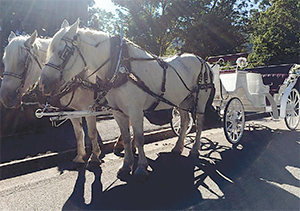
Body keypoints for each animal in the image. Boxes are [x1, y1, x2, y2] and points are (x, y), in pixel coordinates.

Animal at [0, 23, 102, 164]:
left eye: (23, 63)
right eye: (4, 62)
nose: (6, 98)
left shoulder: (89, 109)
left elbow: (92, 132)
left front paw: (95, 155)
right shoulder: (71, 111)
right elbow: (78, 133)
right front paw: (80, 155)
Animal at [41, 20, 214, 181]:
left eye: (64, 52)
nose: (43, 84)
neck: (120, 67)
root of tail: (202, 60)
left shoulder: (135, 110)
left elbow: (139, 137)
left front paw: (141, 167)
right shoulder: (117, 112)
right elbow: (125, 137)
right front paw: (126, 165)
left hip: (200, 100)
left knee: (199, 123)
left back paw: (195, 149)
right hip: (182, 101)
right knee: (185, 122)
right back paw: (178, 147)